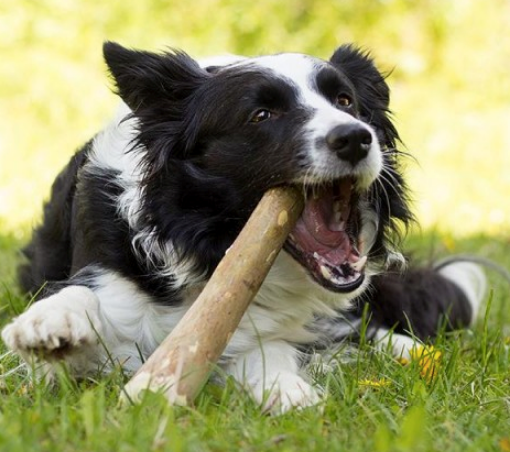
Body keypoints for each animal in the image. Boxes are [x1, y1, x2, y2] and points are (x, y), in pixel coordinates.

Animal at [0, 42, 486, 414]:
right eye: (261, 115)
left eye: (345, 101)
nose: (354, 137)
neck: (209, 247)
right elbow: (78, 306)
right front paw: (49, 324)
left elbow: (270, 349)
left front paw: (289, 392)